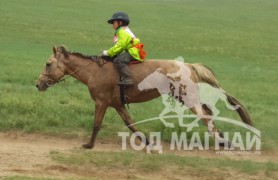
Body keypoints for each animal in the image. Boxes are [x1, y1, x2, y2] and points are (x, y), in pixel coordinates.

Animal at [35, 45, 252, 149]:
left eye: (48, 63)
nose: (38, 84)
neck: (95, 72)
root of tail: (189, 65)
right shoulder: (117, 105)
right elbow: (130, 124)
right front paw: (147, 141)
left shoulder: (101, 102)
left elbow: (96, 124)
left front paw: (88, 145)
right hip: (188, 97)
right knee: (208, 113)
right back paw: (222, 139)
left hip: (188, 98)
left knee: (205, 116)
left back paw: (225, 142)